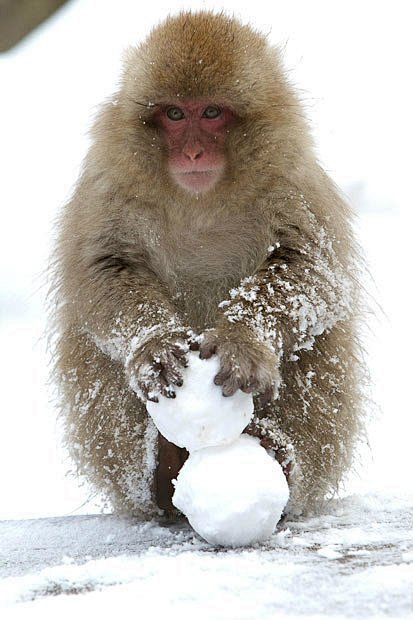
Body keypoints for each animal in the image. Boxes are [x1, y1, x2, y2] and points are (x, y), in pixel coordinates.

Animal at [51, 12, 364, 520]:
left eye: (212, 113)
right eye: (176, 115)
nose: (194, 153)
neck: (200, 199)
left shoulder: (292, 176)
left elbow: (314, 270)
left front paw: (244, 341)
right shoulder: (109, 177)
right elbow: (103, 270)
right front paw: (154, 345)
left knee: (320, 341)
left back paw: (275, 452)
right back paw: (159, 470)